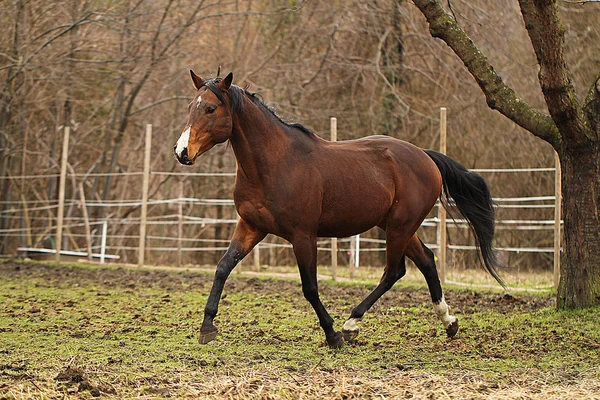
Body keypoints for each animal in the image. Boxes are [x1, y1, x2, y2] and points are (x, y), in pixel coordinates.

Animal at [175, 70, 506, 348]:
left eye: (211, 109)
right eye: (191, 106)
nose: (182, 152)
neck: (275, 163)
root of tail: (425, 156)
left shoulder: (303, 235)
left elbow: (309, 287)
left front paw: (332, 334)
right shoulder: (251, 226)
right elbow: (223, 267)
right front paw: (207, 327)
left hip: (400, 226)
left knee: (394, 271)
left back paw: (351, 324)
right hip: (396, 225)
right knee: (426, 260)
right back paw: (448, 322)